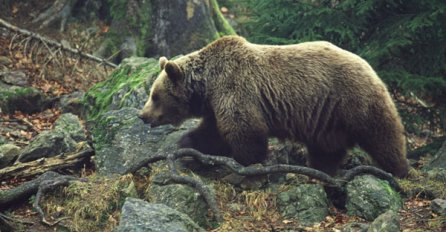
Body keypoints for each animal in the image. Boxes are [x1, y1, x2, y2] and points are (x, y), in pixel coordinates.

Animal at [138, 35, 410, 178]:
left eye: (155, 95)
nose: (142, 115)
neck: (208, 86)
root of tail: (370, 66)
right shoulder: (217, 105)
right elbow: (212, 133)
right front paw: (187, 146)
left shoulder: (236, 90)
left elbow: (245, 131)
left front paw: (246, 161)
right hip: (326, 119)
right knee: (326, 147)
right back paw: (322, 168)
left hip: (352, 100)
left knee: (382, 135)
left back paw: (398, 170)